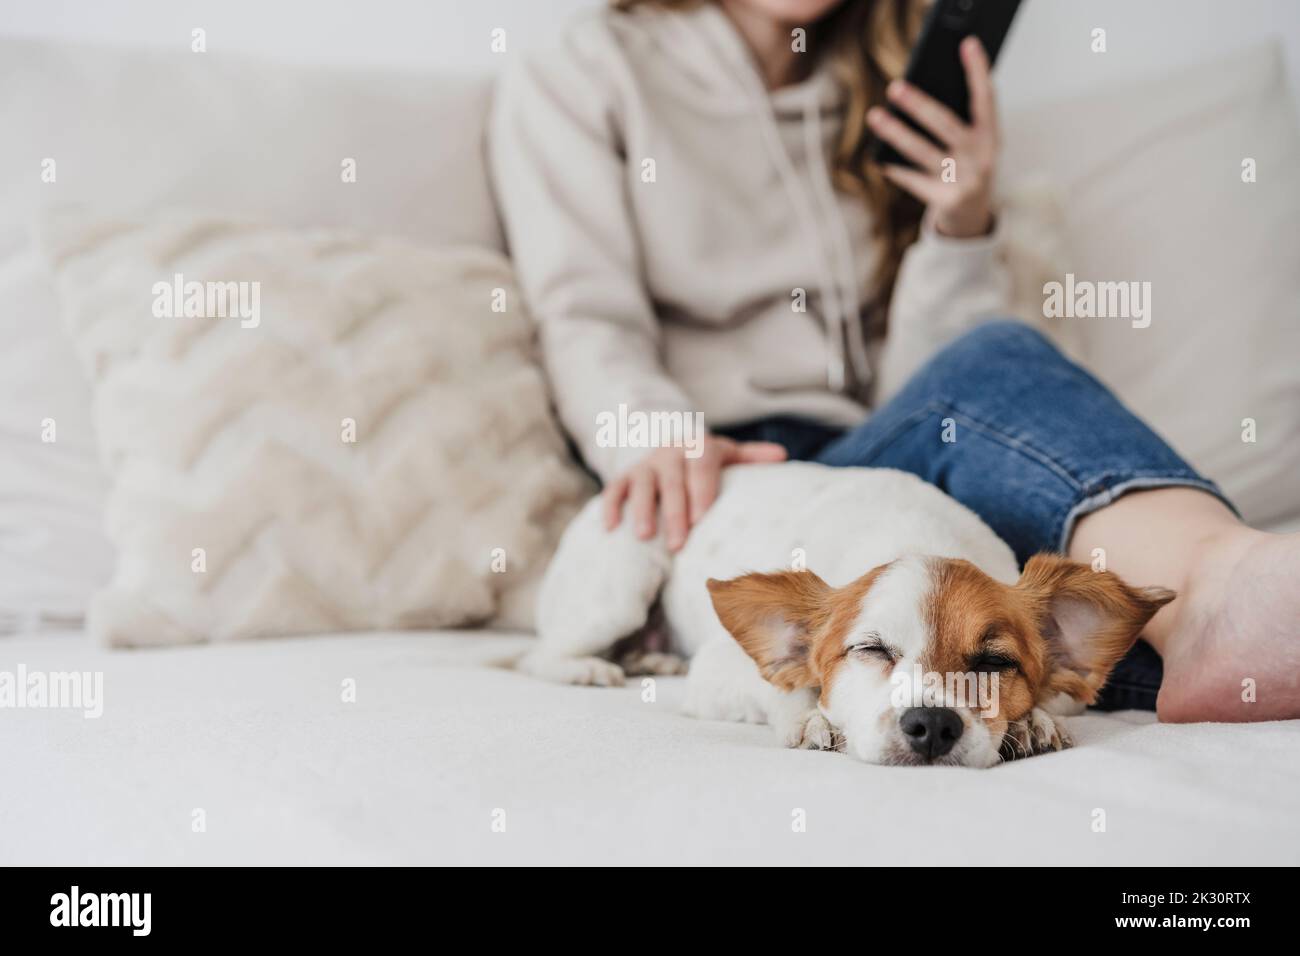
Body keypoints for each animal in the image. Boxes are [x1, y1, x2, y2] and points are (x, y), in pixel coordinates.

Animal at [522, 460, 1175, 764]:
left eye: (995, 663)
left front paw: (1030, 721)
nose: (932, 725)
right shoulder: (720, 669)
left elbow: (1048, 702)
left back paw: (649, 658)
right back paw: (587, 668)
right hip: (616, 591)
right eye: (871, 649)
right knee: (540, 654)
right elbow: (788, 688)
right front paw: (811, 719)